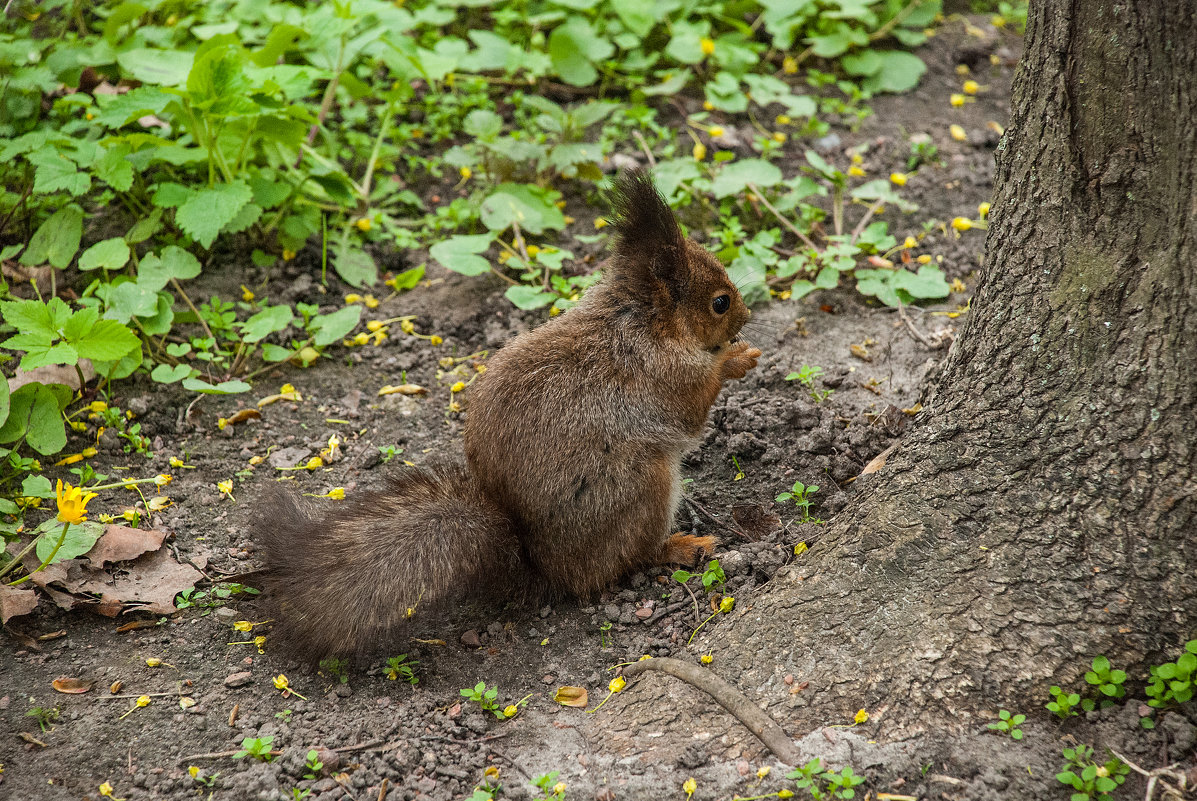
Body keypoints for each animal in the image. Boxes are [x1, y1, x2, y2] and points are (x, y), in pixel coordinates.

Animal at [256, 170, 761, 656]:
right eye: (720, 302)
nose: (747, 317)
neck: (642, 321)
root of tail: (548, 569)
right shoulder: (664, 375)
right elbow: (692, 407)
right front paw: (735, 359)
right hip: (642, 488)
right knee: (632, 558)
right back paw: (682, 546)